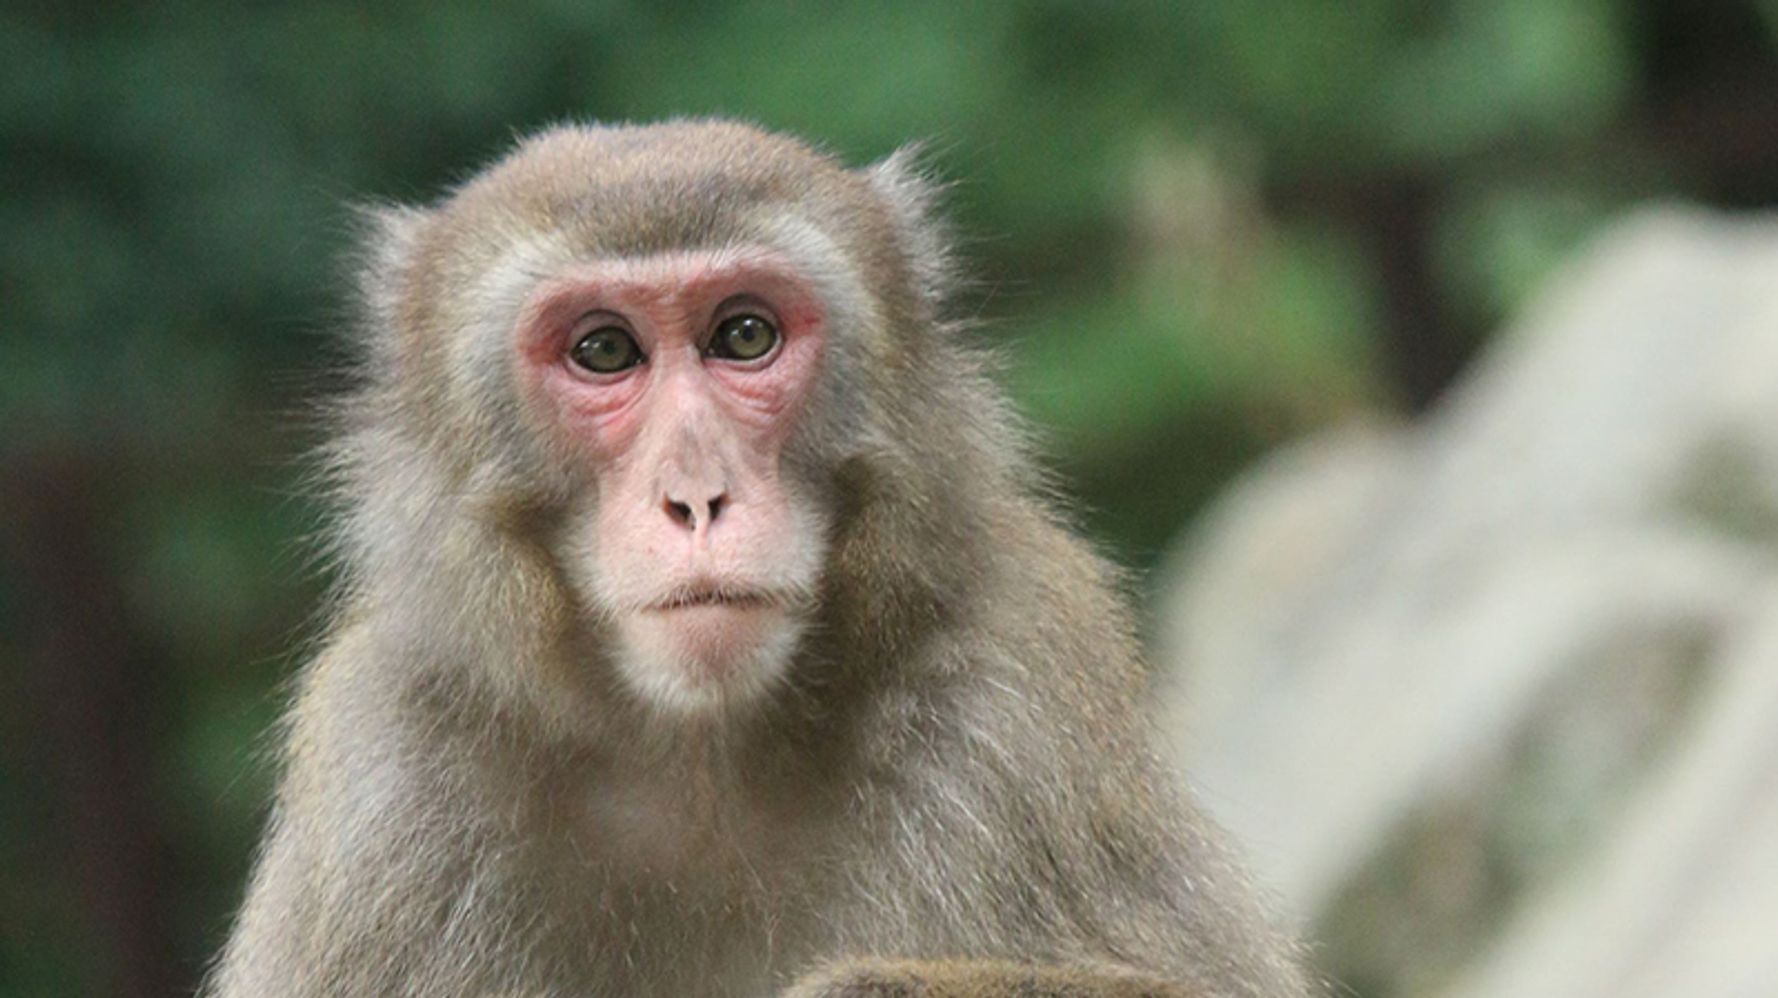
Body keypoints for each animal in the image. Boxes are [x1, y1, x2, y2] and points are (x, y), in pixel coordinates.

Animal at [204, 118, 1308, 996]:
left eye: (743, 335)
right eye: (604, 351)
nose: (697, 497)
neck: (701, 755)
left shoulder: (1019, 697)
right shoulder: (385, 786)